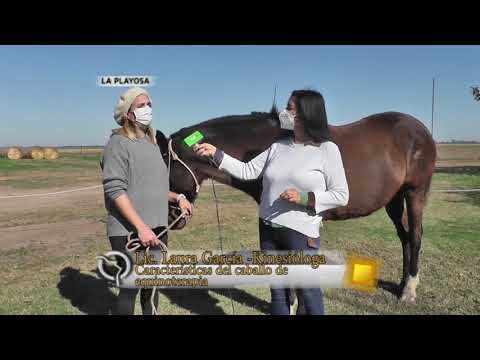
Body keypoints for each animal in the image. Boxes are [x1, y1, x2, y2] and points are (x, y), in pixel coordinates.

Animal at [157, 109, 436, 300]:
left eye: (164, 167)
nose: (171, 215)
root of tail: (420, 129)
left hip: (415, 193)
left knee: (416, 235)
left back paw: (409, 290)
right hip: (394, 199)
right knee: (405, 236)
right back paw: (402, 283)